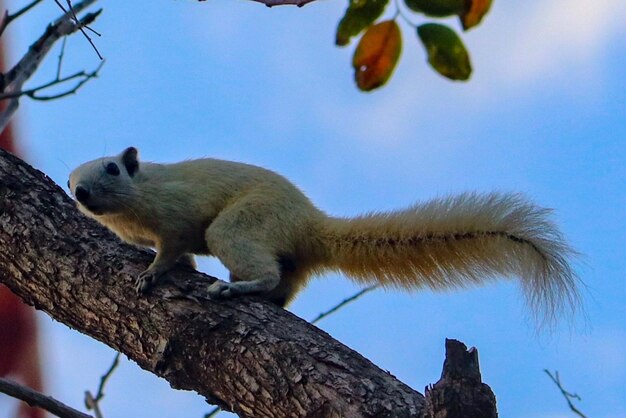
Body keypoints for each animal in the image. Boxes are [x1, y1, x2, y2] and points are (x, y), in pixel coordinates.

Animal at [67, 145, 576, 318]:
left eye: (112, 168)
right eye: (72, 181)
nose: (81, 194)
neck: (132, 208)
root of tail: (309, 224)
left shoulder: (174, 216)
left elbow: (171, 249)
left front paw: (152, 273)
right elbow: (179, 255)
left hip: (241, 225)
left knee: (267, 272)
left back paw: (236, 288)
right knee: (286, 284)